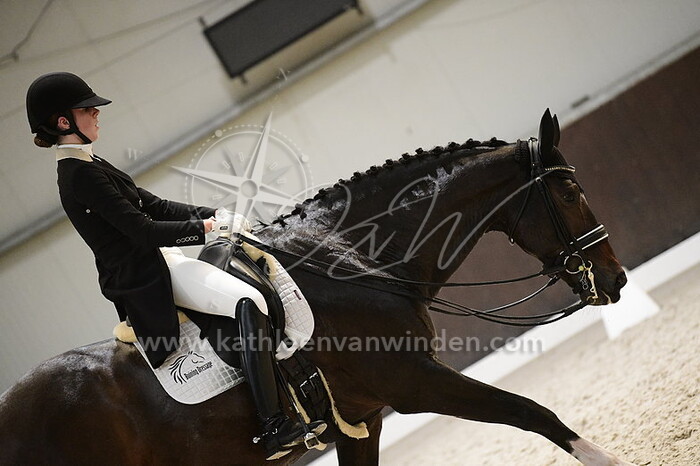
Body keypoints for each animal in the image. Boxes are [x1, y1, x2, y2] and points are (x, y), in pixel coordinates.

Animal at [0, 110, 631, 465]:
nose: (617, 280)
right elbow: (535, 413)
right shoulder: (416, 383)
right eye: (570, 192)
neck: (357, 260)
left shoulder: (364, 417)